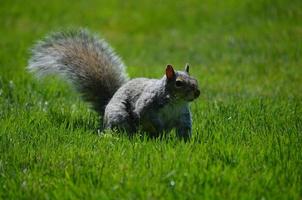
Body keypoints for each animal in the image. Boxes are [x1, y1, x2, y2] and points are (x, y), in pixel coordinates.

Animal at [27, 28, 199, 140]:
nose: (197, 93)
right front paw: (161, 131)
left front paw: (185, 144)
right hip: (119, 115)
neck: (175, 102)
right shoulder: (148, 105)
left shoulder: (183, 116)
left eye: (195, 79)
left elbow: (184, 131)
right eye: (178, 83)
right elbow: (148, 117)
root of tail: (106, 107)